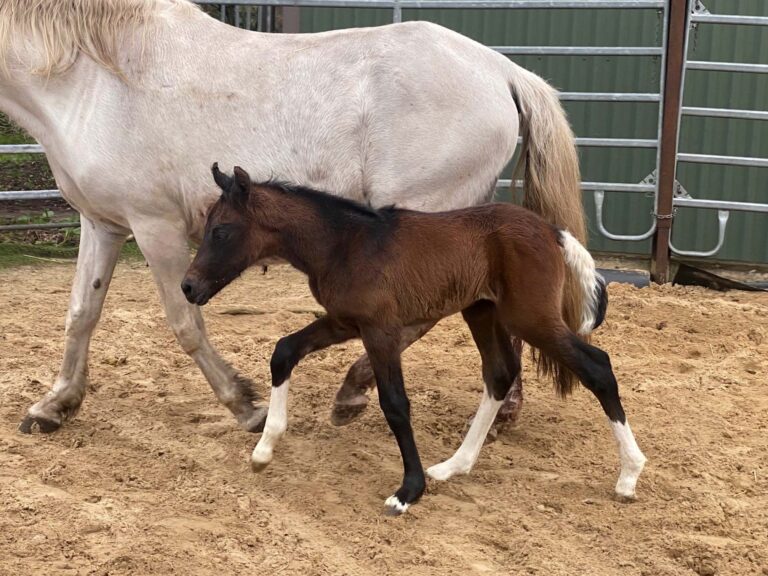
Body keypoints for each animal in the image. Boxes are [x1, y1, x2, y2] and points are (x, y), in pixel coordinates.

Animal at [3, 0, 584, 436]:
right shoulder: (103, 224)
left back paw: (353, 392)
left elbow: (185, 322)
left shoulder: (155, 228)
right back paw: (501, 408)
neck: (97, 80)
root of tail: (502, 70)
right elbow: (82, 313)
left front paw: (247, 406)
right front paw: (53, 407)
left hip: (431, 218)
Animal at [183, 164, 644, 516]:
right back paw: (454, 466)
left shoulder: (380, 331)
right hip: (481, 311)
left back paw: (629, 475)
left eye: (221, 230)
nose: (188, 286)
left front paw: (408, 491)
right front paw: (264, 448)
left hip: (530, 318)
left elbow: (395, 405)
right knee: (499, 374)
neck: (344, 245)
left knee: (597, 366)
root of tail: (552, 231)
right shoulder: (345, 322)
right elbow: (283, 351)